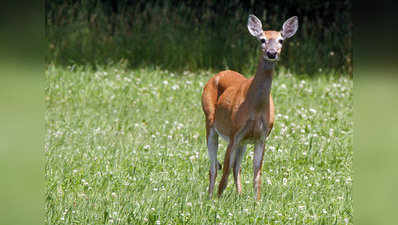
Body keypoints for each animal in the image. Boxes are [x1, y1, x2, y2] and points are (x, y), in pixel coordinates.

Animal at [201, 14, 296, 200]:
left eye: (281, 40)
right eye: (262, 39)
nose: (271, 53)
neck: (256, 108)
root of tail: (219, 74)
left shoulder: (261, 137)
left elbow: (256, 173)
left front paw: (257, 201)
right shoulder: (234, 133)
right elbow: (225, 173)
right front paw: (218, 200)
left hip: (243, 141)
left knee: (236, 168)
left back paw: (238, 195)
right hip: (210, 121)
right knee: (214, 167)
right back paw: (210, 197)